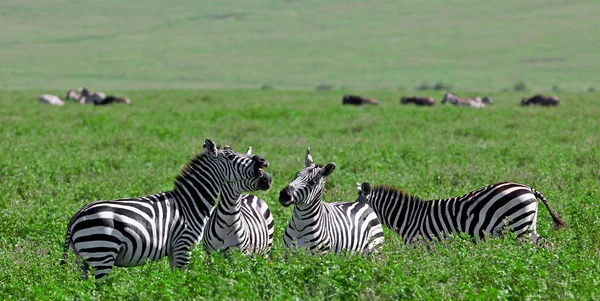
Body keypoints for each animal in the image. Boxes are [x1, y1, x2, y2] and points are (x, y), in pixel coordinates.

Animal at [356, 180, 568, 244]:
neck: (408, 217)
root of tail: (528, 188)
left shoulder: (421, 245)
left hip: (517, 226)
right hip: (528, 225)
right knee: (545, 245)